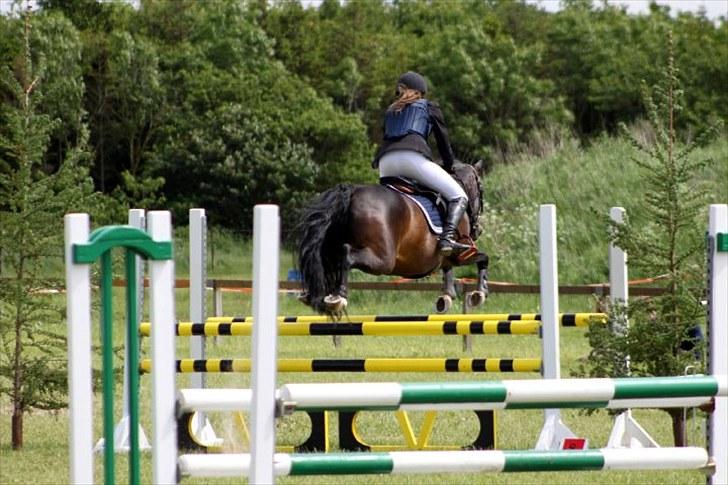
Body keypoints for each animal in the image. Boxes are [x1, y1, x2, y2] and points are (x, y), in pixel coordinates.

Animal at [296, 161, 489, 317]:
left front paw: (446, 297)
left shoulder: (446, 256)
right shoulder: (462, 254)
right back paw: (339, 296)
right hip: (383, 261)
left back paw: (318, 295)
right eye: (481, 190)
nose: (478, 230)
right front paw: (480, 294)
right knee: (346, 254)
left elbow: (447, 268)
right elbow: (483, 258)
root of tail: (351, 192)